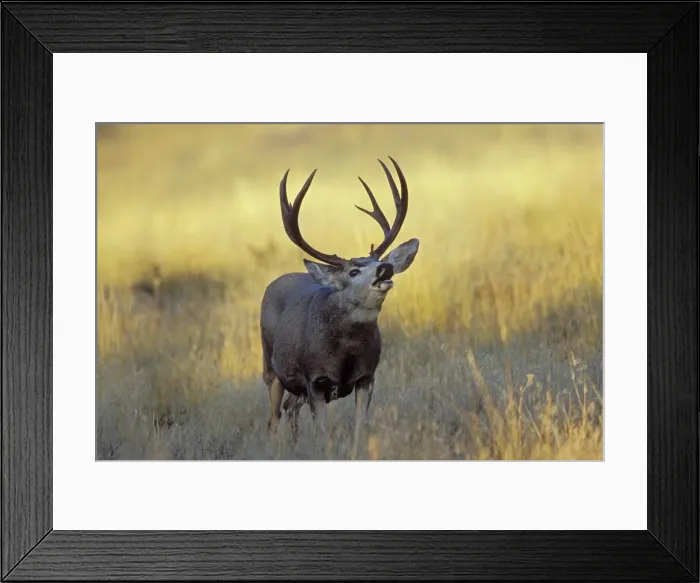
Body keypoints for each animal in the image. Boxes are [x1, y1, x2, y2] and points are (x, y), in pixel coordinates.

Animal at [259, 157, 419, 454]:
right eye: (354, 271)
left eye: (378, 261)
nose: (386, 268)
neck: (345, 352)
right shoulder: (315, 379)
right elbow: (324, 433)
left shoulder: (367, 376)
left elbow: (360, 427)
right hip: (270, 366)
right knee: (273, 419)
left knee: (289, 407)